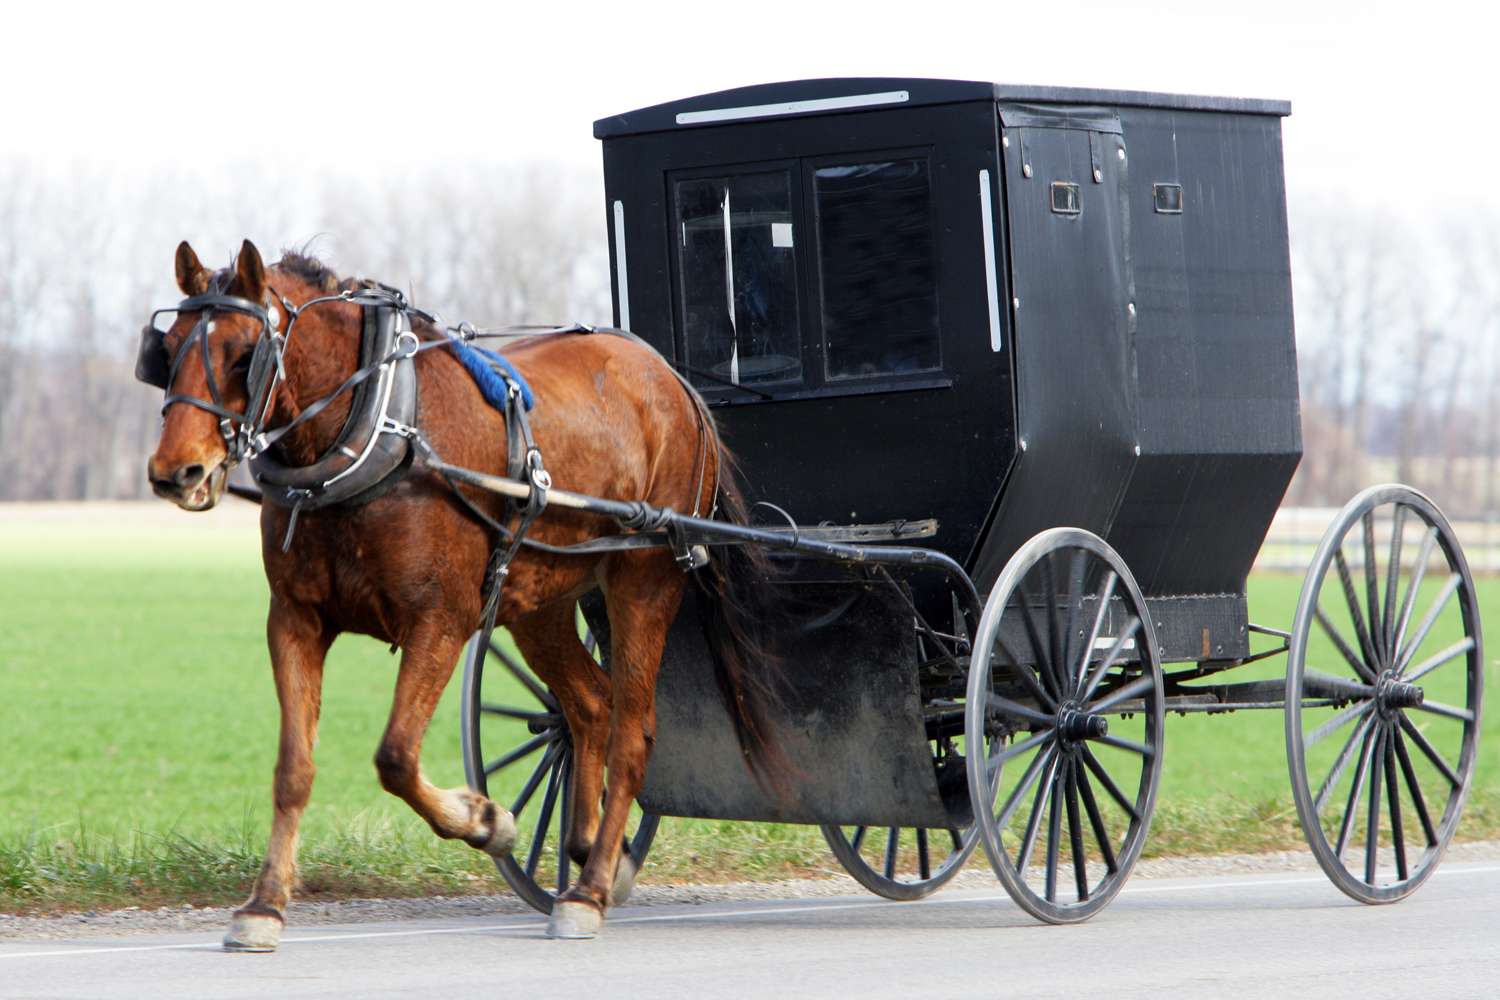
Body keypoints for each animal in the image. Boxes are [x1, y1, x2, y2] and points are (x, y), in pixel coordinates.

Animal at [143, 239, 779, 948]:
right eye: (169, 348)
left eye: (242, 352)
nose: (176, 472)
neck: (378, 428)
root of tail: (673, 381)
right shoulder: (295, 620)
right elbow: (294, 768)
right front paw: (263, 905)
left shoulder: (440, 621)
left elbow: (395, 756)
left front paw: (486, 820)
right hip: (540, 600)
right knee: (590, 706)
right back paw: (591, 854)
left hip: (644, 581)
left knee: (632, 730)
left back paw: (587, 891)